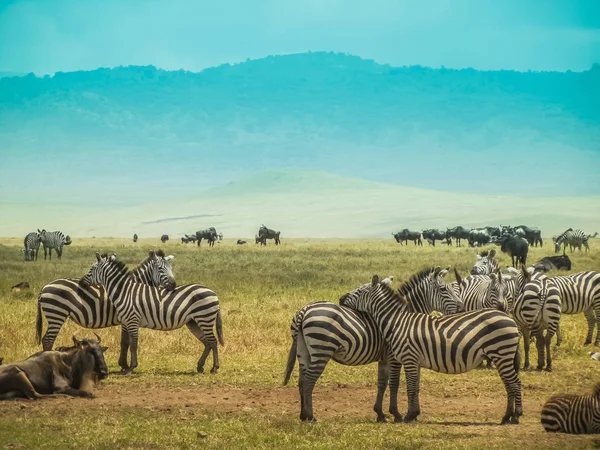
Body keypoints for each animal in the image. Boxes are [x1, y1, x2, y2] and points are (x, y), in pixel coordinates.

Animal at [81, 253, 224, 372]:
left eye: (91, 269)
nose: (81, 282)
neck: (124, 291)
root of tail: (213, 292)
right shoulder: (126, 322)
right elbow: (126, 343)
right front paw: (126, 366)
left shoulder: (132, 320)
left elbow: (133, 344)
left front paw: (131, 368)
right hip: (193, 322)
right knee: (207, 342)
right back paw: (200, 366)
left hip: (204, 318)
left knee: (213, 341)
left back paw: (214, 368)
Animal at [284, 268, 462, 424]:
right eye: (443, 289)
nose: (461, 307)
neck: (401, 317)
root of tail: (304, 310)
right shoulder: (394, 357)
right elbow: (395, 384)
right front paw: (397, 414)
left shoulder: (386, 358)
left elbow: (383, 384)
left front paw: (381, 414)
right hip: (322, 350)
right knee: (309, 380)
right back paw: (311, 416)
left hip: (304, 351)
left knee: (302, 380)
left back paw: (303, 415)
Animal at [340, 274, 524, 426]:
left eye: (359, 291)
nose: (341, 298)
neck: (398, 321)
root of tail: (509, 318)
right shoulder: (413, 361)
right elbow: (415, 387)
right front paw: (413, 414)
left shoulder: (408, 358)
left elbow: (409, 387)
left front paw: (408, 415)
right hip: (501, 356)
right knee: (509, 384)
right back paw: (507, 416)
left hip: (501, 353)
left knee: (515, 383)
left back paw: (516, 416)